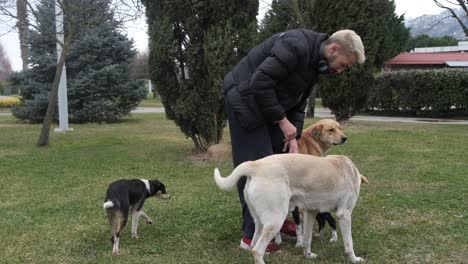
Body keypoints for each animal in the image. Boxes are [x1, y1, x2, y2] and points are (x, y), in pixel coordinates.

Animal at [215, 155, 366, 264]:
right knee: (257, 251)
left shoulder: (310, 213)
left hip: (260, 223)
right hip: (275, 221)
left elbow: (307, 238)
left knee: (253, 245)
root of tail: (255, 165)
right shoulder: (344, 215)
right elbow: (349, 243)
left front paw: (308, 255)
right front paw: (354, 259)